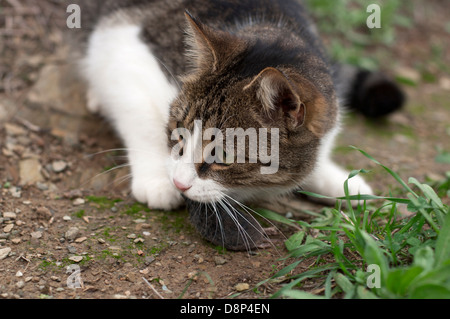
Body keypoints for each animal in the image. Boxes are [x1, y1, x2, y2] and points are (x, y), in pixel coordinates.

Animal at [74, 0, 404, 250]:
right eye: (178, 132)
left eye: (222, 156)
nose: (179, 183)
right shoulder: (121, 44)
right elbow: (140, 117)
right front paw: (157, 179)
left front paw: (337, 179)